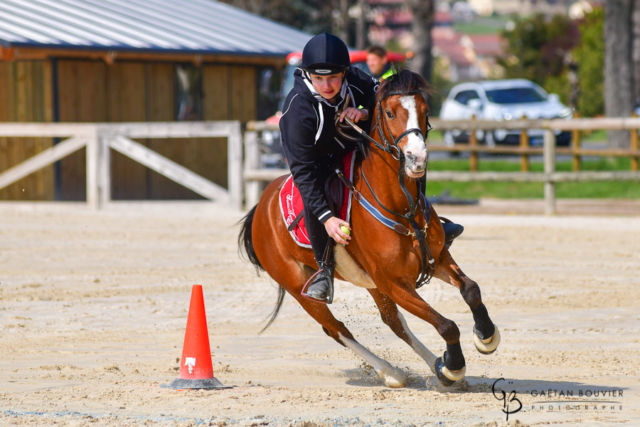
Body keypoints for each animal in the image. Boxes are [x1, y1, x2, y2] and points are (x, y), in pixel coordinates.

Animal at [240, 69, 500, 388]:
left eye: (425, 111)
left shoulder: (436, 260)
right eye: (389, 113)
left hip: (371, 283)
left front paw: (486, 337)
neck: (402, 208)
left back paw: (431, 366)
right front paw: (454, 365)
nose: (417, 158)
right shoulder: (394, 283)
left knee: (394, 322)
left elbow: (471, 290)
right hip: (299, 287)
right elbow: (446, 325)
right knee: (336, 329)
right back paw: (391, 372)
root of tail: (261, 207)